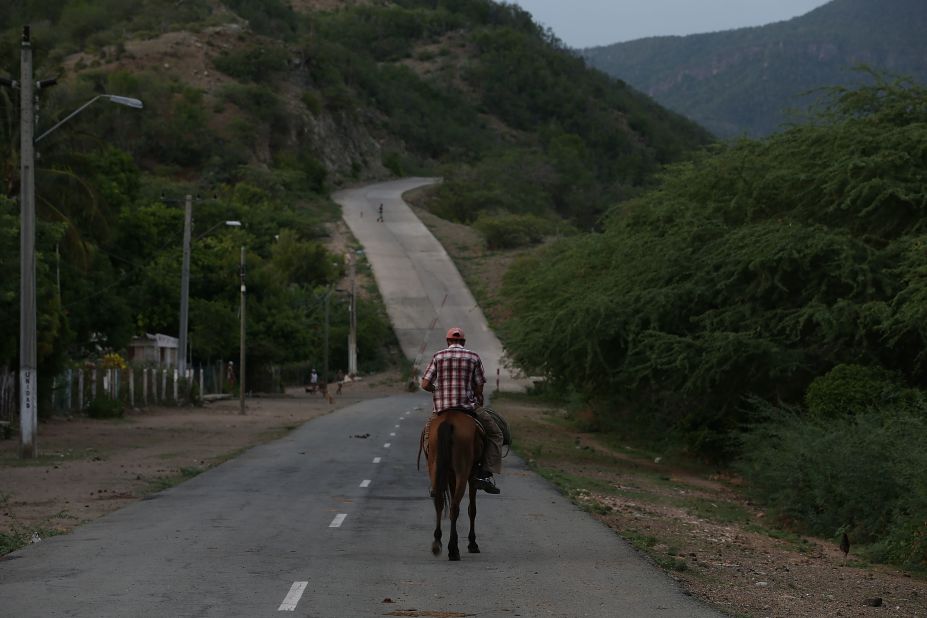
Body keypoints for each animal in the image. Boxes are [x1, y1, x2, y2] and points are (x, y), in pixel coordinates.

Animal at [422, 410, 482, 560]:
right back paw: (453, 549)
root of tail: (448, 421)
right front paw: (472, 543)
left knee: (439, 502)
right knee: (454, 508)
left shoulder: (450, 475)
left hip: (434, 466)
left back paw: (437, 543)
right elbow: (472, 509)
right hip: (463, 471)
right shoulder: (472, 476)